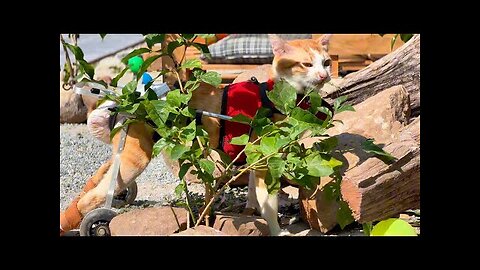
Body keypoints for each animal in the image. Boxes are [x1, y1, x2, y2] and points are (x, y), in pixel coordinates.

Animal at [60, 33, 332, 236]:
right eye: (307, 64)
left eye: (326, 62)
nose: (324, 75)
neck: (276, 97)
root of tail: (125, 103)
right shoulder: (266, 161)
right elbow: (269, 203)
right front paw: (276, 230)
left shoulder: (255, 160)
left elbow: (254, 196)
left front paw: (251, 213)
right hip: (135, 159)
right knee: (89, 199)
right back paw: (97, 223)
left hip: (127, 154)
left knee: (100, 180)